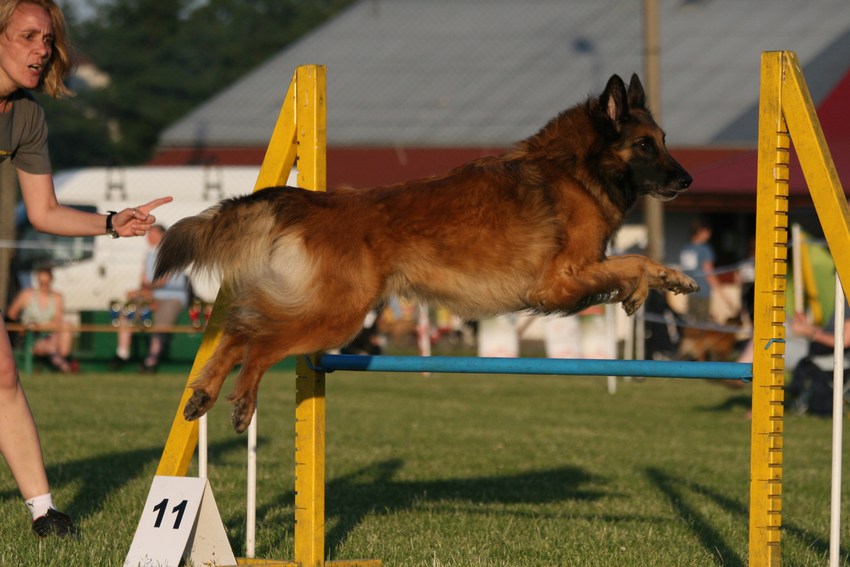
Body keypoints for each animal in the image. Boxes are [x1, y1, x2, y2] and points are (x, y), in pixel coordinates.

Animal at [157, 73, 696, 432]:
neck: (576, 170)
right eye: (645, 145)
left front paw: (672, 280)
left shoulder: (573, 276)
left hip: (317, 306)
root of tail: (314, 201)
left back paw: (205, 390)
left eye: (664, 141)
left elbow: (638, 262)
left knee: (239, 327)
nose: (687, 180)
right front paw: (641, 291)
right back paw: (242, 399)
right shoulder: (560, 280)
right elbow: (630, 263)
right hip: (335, 316)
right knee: (261, 342)